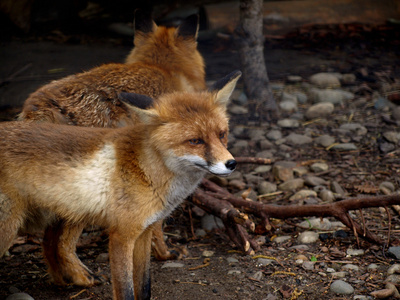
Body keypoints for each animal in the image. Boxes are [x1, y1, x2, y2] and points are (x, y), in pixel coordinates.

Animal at [0, 71, 241, 300]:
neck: (147, 171)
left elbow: (144, 287)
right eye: (195, 141)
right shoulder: (121, 236)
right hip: (13, 227)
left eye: (221, 134)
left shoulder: (144, 233)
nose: (231, 163)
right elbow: (126, 291)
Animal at [16, 9, 206, 288]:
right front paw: (165, 253)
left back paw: (61, 280)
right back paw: (82, 278)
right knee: (61, 243)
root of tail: (41, 105)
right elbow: (157, 226)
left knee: (48, 241)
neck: (161, 67)